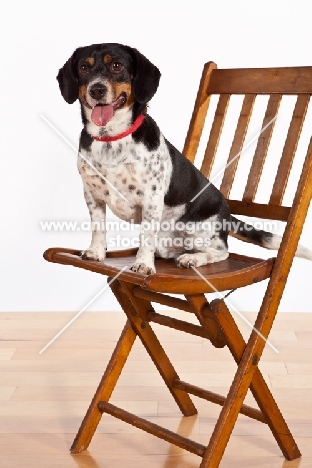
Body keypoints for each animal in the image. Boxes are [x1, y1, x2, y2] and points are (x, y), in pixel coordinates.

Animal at [56, 43, 312, 274]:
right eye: (83, 67)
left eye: (116, 65)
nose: (96, 89)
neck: (111, 137)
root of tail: (228, 215)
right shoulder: (93, 195)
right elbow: (98, 227)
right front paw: (96, 252)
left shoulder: (151, 198)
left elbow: (145, 236)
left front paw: (143, 265)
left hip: (200, 233)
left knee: (221, 251)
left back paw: (193, 259)